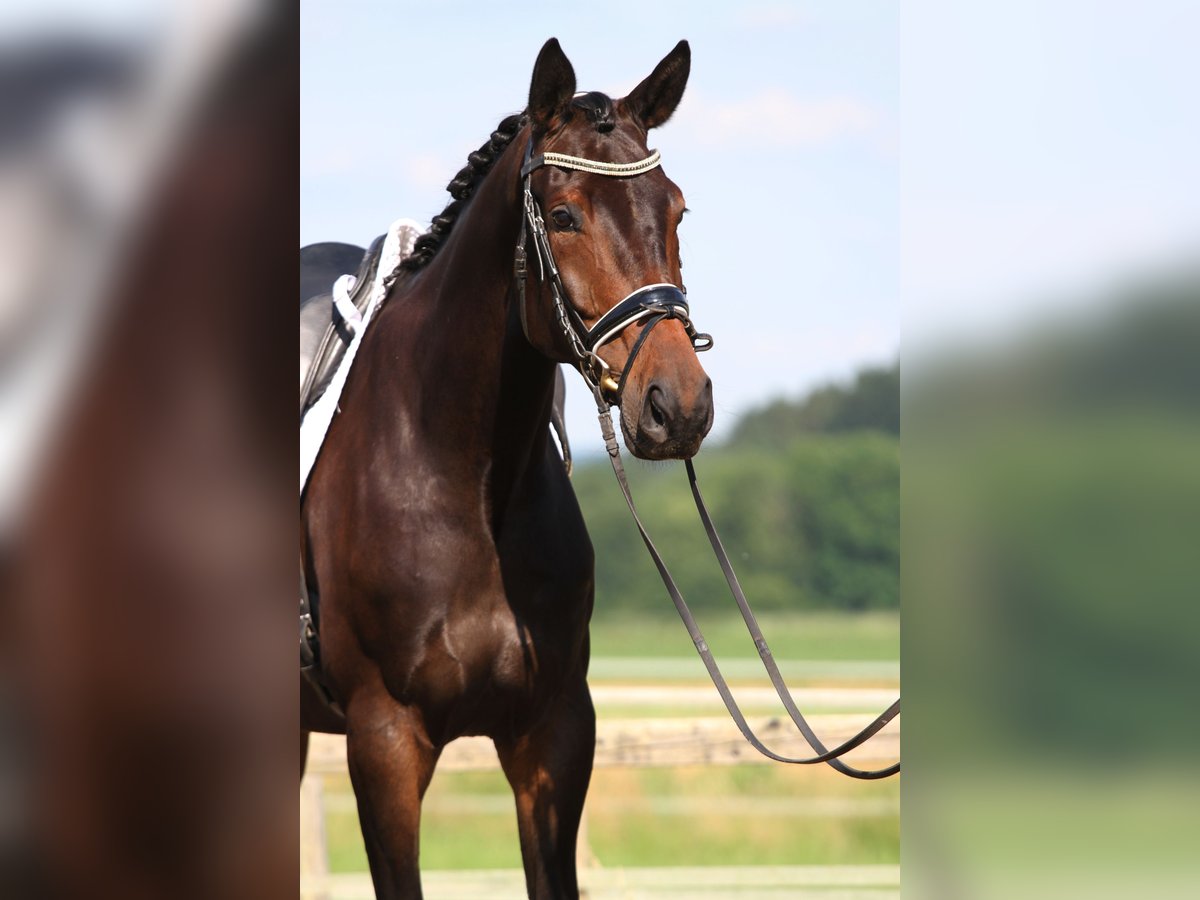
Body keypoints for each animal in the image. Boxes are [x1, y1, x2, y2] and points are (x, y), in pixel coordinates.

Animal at [302, 38, 710, 897]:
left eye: (676, 211)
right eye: (562, 216)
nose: (679, 404)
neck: (463, 479)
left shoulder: (554, 734)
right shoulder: (383, 742)